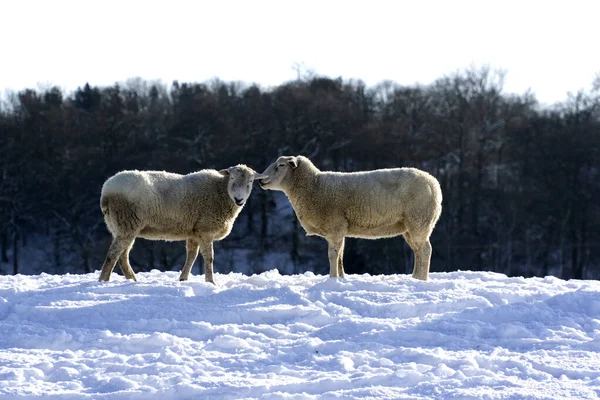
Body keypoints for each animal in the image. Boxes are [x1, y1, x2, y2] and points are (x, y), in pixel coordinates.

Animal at [96, 164, 264, 282]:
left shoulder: (194, 232)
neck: (220, 191)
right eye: (232, 179)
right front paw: (210, 282)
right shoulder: (206, 230)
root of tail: (106, 192)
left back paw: (132, 280)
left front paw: (183, 279)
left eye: (250, 181)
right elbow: (209, 258)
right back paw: (104, 280)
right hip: (127, 223)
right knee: (113, 254)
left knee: (122, 256)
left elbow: (191, 256)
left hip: (121, 227)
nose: (239, 199)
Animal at [258, 155, 440, 280]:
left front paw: (332, 278)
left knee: (425, 250)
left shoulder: (334, 226)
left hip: (419, 220)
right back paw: (415, 278)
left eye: (281, 165)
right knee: (418, 251)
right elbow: (340, 256)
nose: (260, 180)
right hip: (410, 225)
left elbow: (332, 255)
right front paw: (341, 277)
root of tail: (434, 183)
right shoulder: (340, 229)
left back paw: (422, 279)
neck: (313, 187)